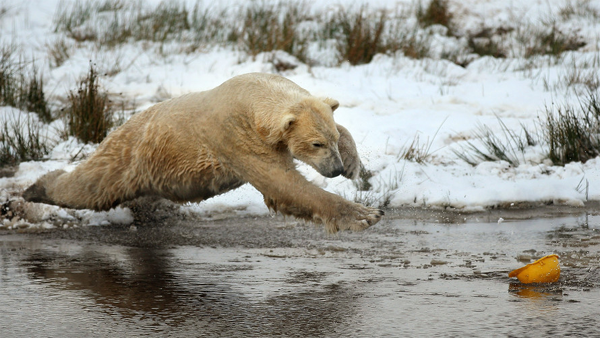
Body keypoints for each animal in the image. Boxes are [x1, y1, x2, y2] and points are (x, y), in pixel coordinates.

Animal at [24, 73, 384, 232]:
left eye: (330, 139)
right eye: (315, 144)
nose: (335, 169)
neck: (252, 94)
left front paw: (355, 164)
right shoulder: (236, 136)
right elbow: (283, 185)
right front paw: (365, 214)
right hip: (128, 156)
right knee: (90, 186)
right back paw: (34, 188)